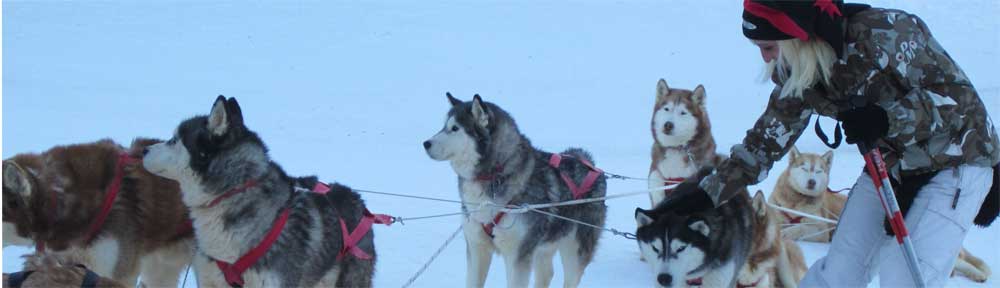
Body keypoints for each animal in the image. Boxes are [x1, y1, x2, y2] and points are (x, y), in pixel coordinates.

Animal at [648, 77, 720, 206]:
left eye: (683, 112)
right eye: (667, 109)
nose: (668, 125)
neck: (676, 147)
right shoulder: (656, 175)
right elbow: (656, 180)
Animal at [768, 147, 988, 282]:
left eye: (819, 171)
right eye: (805, 168)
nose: (812, 182)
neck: (796, 201)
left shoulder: (821, 230)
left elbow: (800, 228)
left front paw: (789, 231)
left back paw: (978, 275)